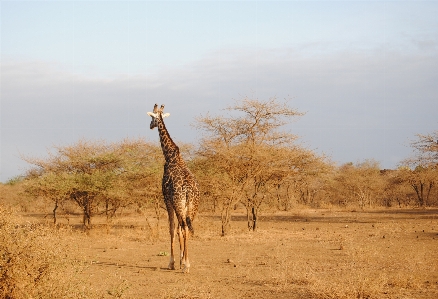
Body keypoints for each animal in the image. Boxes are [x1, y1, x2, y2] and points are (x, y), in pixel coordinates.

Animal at [148, 103, 201, 274]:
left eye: (152, 118)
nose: (150, 126)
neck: (170, 156)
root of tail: (189, 191)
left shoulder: (166, 198)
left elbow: (172, 228)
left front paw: (172, 262)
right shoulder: (178, 204)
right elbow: (178, 229)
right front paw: (180, 259)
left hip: (179, 203)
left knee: (184, 227)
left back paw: (186, 265)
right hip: (192, 207)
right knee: (187, 228)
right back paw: (186, 263)